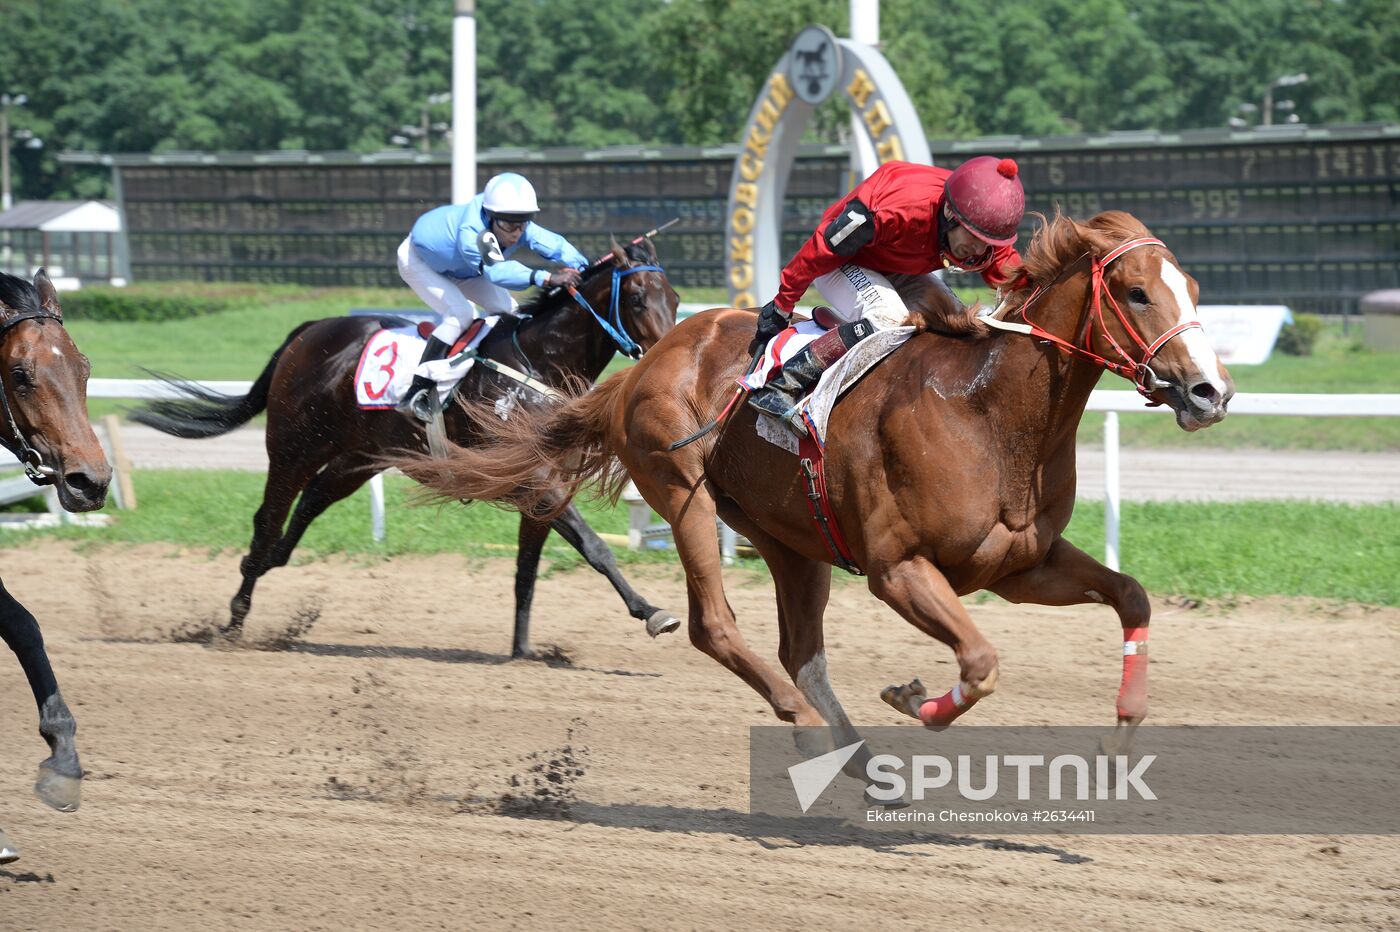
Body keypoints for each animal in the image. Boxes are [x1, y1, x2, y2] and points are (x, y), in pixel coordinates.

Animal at [131, 238, 681, 658]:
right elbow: (595, 547)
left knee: (305, 508)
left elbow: (530, 568)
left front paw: (523, 649)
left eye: (674, 298)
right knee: (267, 523)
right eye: (636, 298)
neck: (537, 365)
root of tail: (308, 332)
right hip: (292, 450)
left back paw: (262, 572)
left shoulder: (548, 484)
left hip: (355, 459)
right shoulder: (529, 479)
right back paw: (234, 623)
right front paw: (654, 612)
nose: (668, 352)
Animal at [390, 211, 1235, 773]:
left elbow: (1131, 596)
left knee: (800, 652)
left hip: (791, 539)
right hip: (686, 496)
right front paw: (912, 700)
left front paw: (1123, 727)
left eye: (1192, 287)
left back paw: (858, 758)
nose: (1210, 391)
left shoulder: (1020, 566)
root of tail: (646, 363)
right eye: (1135, 292)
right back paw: (804, 723)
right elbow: (981, 661)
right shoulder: (900, 570)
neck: (989, 410)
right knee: (717, 627)